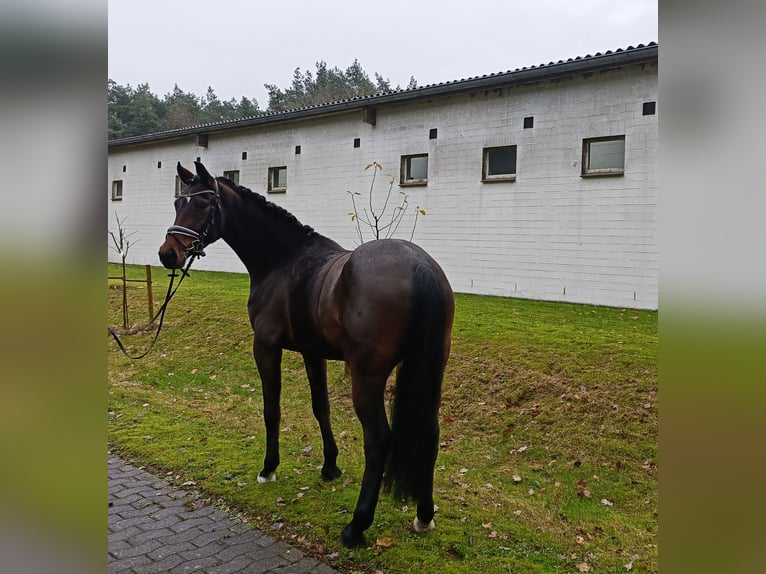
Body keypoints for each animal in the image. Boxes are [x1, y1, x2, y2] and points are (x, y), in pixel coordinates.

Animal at [158, 162, 456, 548]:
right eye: (179, 201)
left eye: (204, 204)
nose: (168, 253)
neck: (282, 259)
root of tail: (418, 265)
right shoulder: (313, 353)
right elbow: (320, 407)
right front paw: (330, 466)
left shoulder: (266, 347)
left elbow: (272, 409)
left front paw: (269, 468)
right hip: (430, 371)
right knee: (430, 434)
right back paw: (424, 515)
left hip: (367, 377)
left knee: (378, 439)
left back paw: (357, 526)